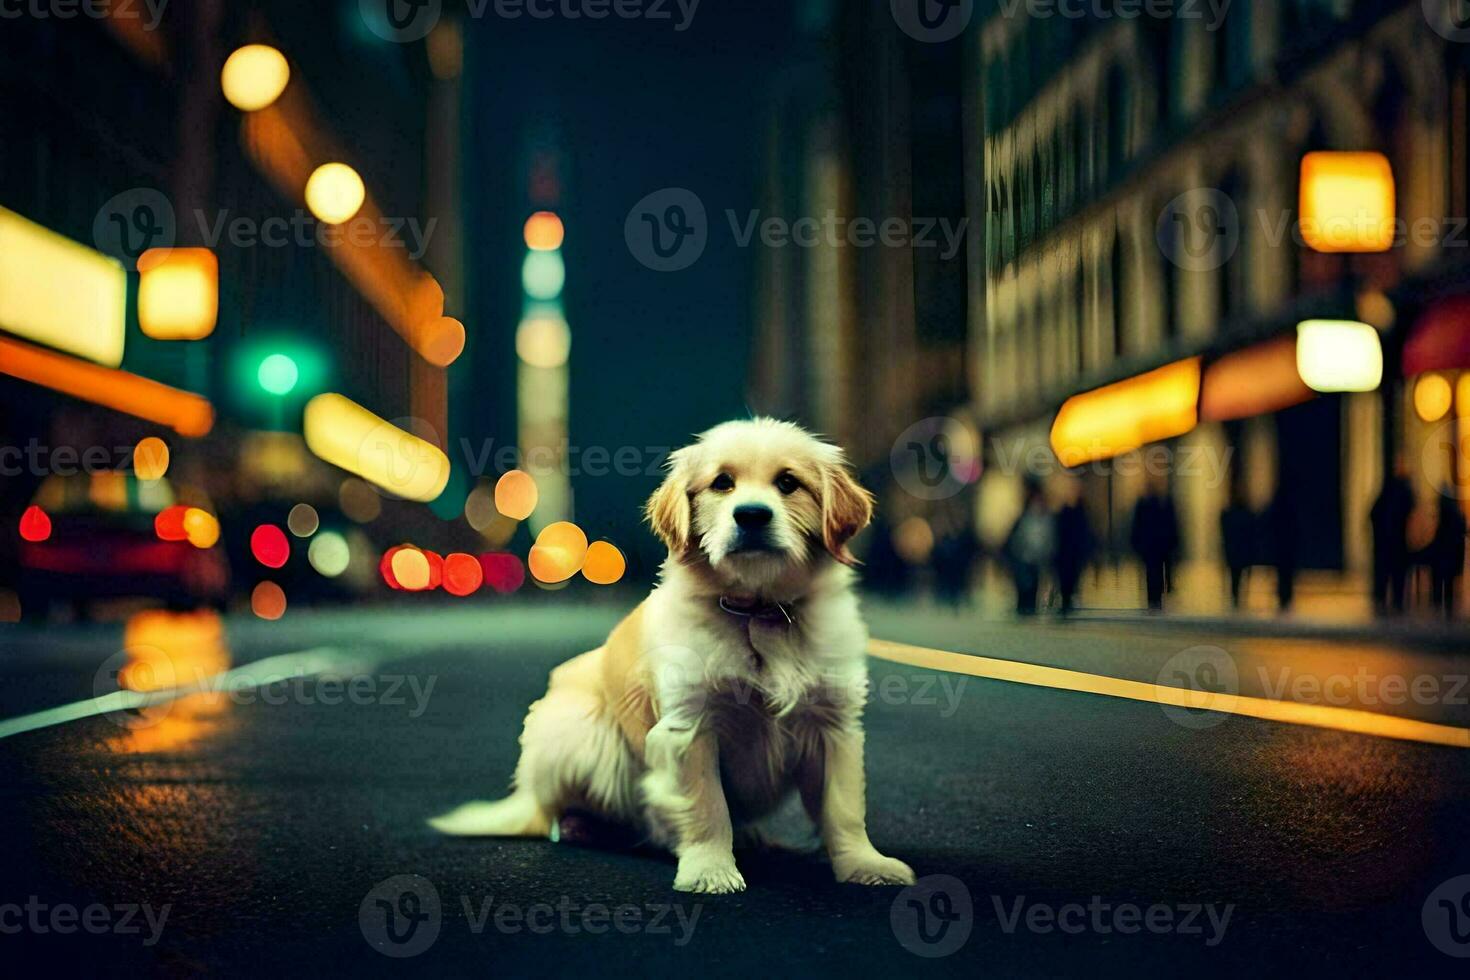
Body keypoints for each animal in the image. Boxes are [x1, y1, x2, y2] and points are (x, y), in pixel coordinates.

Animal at [426, 417, 911, 893]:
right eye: (722, 483)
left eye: (788, 482)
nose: (751, 514)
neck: (757, 610)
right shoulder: (689, 726)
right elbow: (707, 806)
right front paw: (710, 870)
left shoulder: (834, 725)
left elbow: (844, 808)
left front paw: (865, 863)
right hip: (576, 730)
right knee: (558, 813)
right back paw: (587, 826)